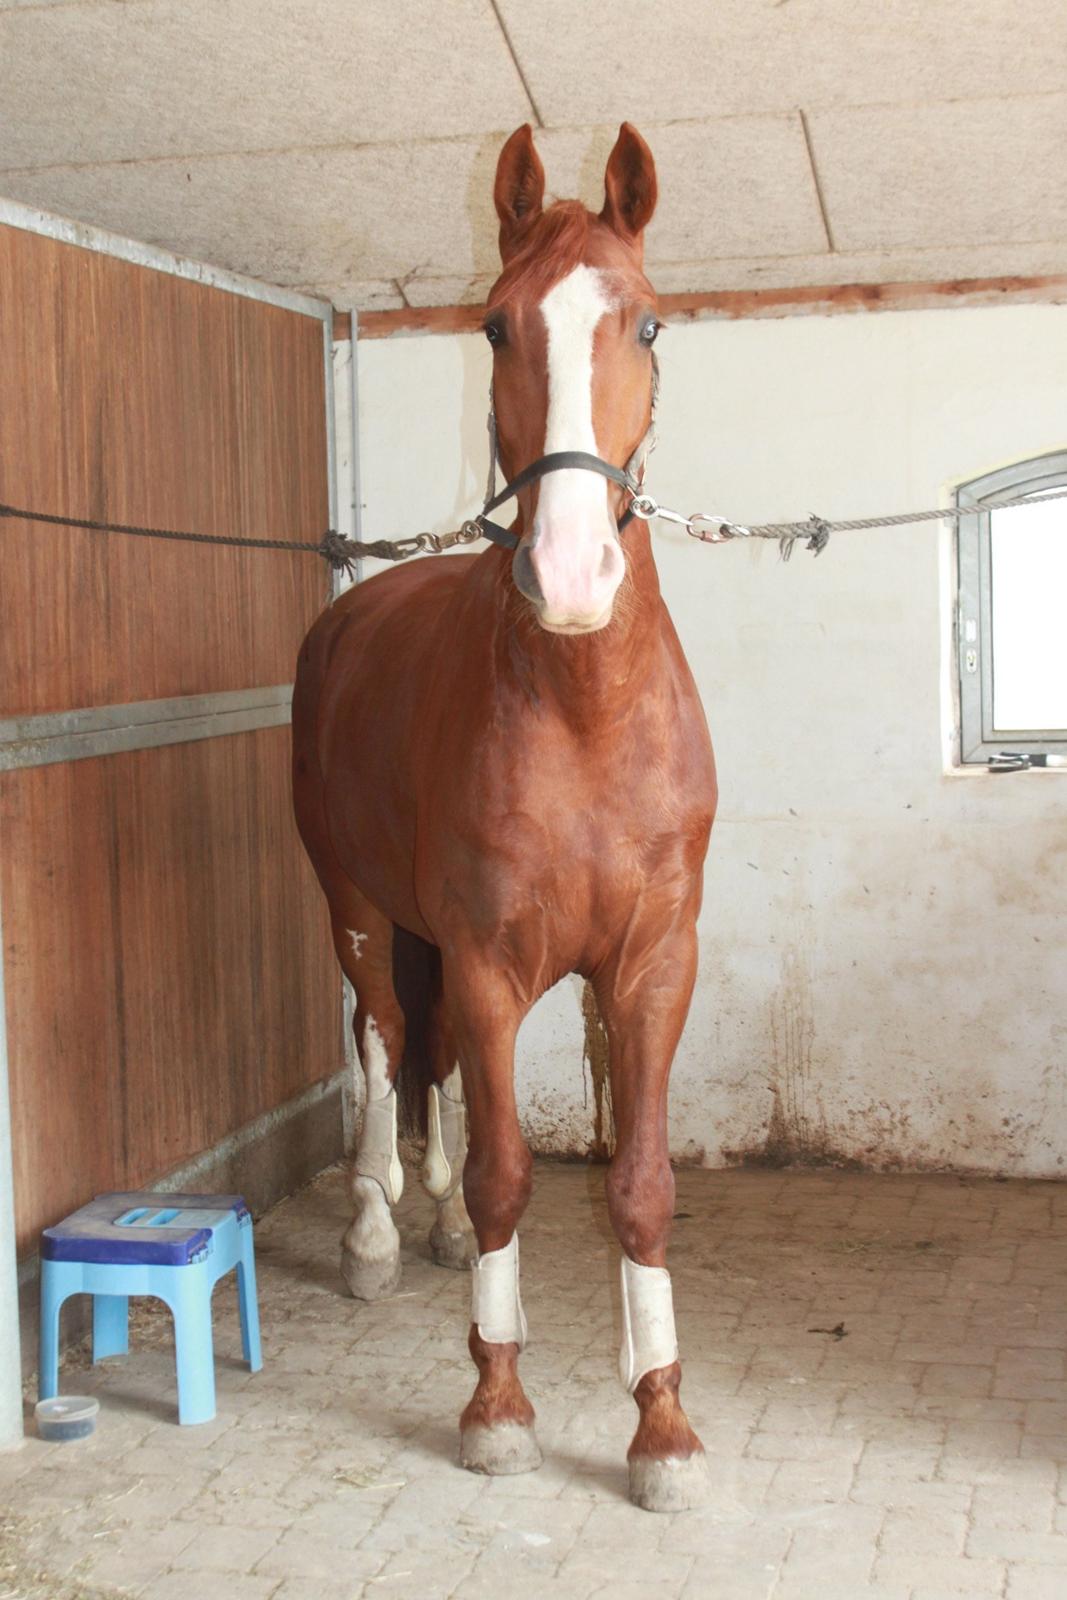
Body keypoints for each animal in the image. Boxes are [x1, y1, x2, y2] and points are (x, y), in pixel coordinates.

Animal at [292, 124, 716, 1510]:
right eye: (492, 325)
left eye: (647, 321)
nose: (571, 571)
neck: (582, 707)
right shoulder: (483, 963)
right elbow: (503, 1173)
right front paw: (495, 1399)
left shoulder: (649, 968)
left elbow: (636, 1185)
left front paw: (660, 1417)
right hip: (360, 915)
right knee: (383, 1043)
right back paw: (376, 1228)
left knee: (427, 1071)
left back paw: (418, 1222)